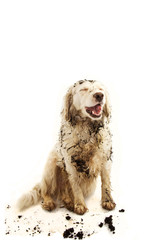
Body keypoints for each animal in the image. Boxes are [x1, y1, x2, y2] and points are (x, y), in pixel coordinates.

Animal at [17, 79, 115, 215]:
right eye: (84, 89)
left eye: (100, 89)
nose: (99, 95)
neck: (87, 130)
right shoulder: (70, 163)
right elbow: (76, 186)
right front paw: (79, 205)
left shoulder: (105, 160)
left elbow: (105, 183)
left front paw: (108, 201)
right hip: (50, 169)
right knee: (45, 191)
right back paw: (50, 202)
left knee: (63, 192)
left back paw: (68, 202)